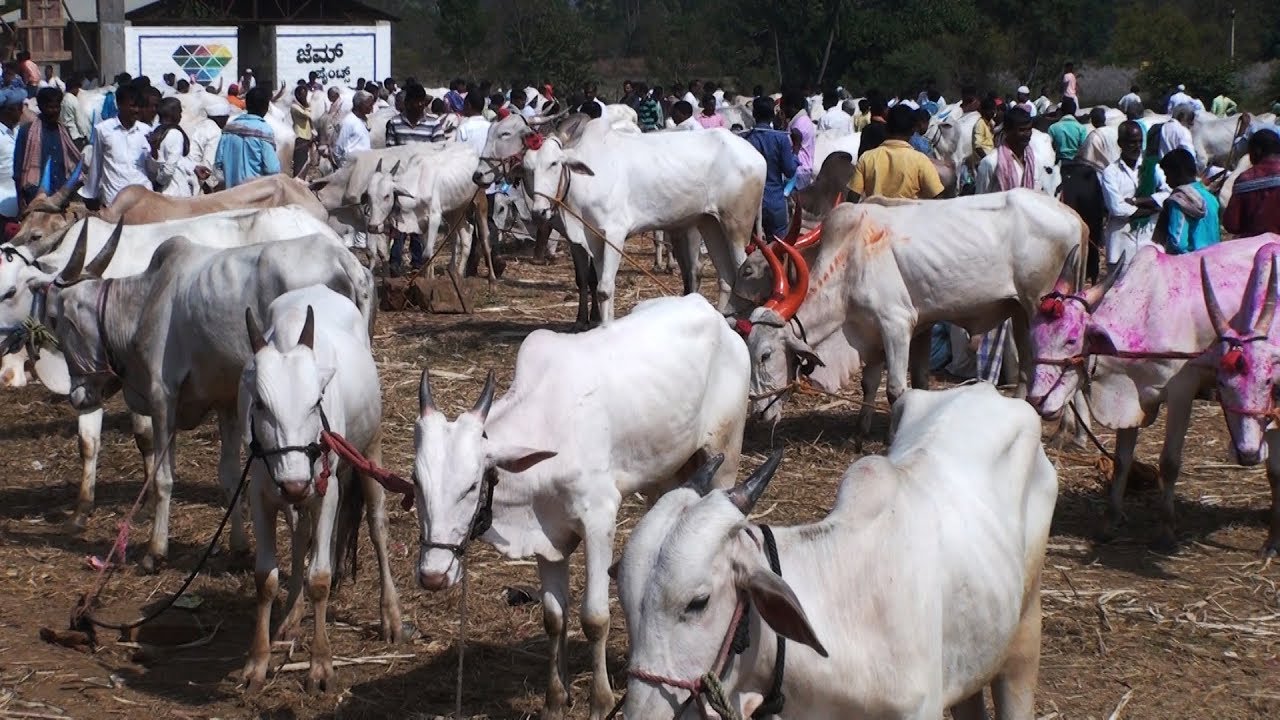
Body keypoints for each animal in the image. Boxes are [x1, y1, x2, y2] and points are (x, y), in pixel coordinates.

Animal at [47, 231, 373, 572]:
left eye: (55, 319)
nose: (78, 397)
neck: (144, 302)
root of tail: (344, 259)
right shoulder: (226, 402)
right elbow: (229, 476)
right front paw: (240, 546)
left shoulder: (162, 398)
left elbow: (164, 477)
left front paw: (155, 550)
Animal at [239, 287, 404, 692]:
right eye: (260, 404)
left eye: (316, 401)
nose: (296, 482)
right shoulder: (261, 492)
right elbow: (266, 577)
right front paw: (257, 661)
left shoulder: (325, 491)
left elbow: (320, 578)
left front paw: (320, 665)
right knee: (303, 535)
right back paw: (291, 614)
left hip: (369, 449)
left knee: (376, 526)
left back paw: (391, 615)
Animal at [411, 293, 749, 720]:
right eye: (416, 481)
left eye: (471, 485)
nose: (432, 576)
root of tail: (708, 309)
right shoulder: (546, 535)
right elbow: (554, 617)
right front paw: (556, 699)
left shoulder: (599, 519)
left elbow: (595, 618)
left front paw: (600, 701)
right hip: (666, 474)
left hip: (726, 454)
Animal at [522, 121, 765, 323]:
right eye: (527, 168)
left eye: (554, 163)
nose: (539, 212)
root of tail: (756, 154)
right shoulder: (593, 239)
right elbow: (598, 284)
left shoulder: (615, 235)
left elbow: (604, 289)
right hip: (710, 223)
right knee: (726, 279)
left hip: (737, 226)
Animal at [741, 189, 1086, 436]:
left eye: (765, 355)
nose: (758, 414)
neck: (851, 257)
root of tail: (1073, 216)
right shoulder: (874, 331)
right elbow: (872, 382)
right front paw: (861, 431)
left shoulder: (896, 325)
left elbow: (896, 389)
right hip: (1020, 312)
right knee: (1032, 366)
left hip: (1039, 305)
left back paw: (1067, 432)